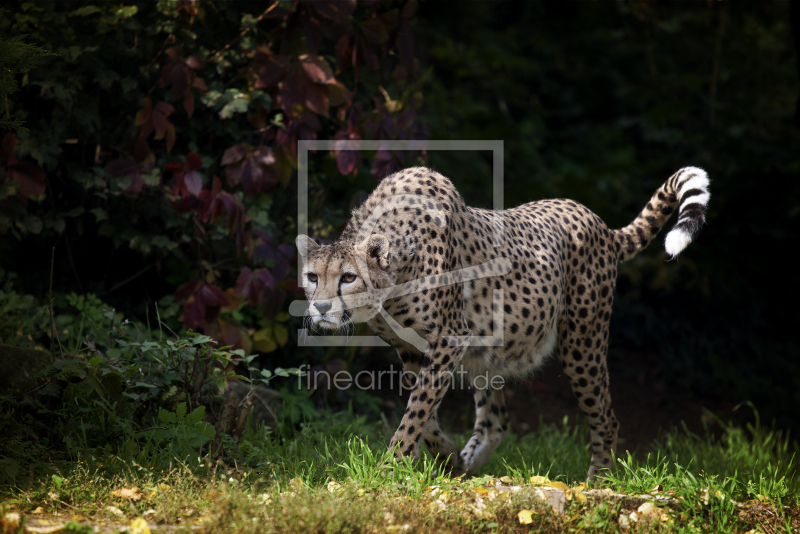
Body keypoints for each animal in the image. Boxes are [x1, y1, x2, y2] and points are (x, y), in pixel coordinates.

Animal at [296, 165, 708, 480]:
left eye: (348, 277)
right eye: (312, 277)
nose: (321, 308)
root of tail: (597, 221)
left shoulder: (449, 339)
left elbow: (417, 411)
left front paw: (390, 467)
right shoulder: (412, 348)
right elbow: (425, 414)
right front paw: (446, 458)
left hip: (582, 344)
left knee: (606, 416)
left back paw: (599, 481)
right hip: (490, 351)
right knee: (496, 419)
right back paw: (468, 461)